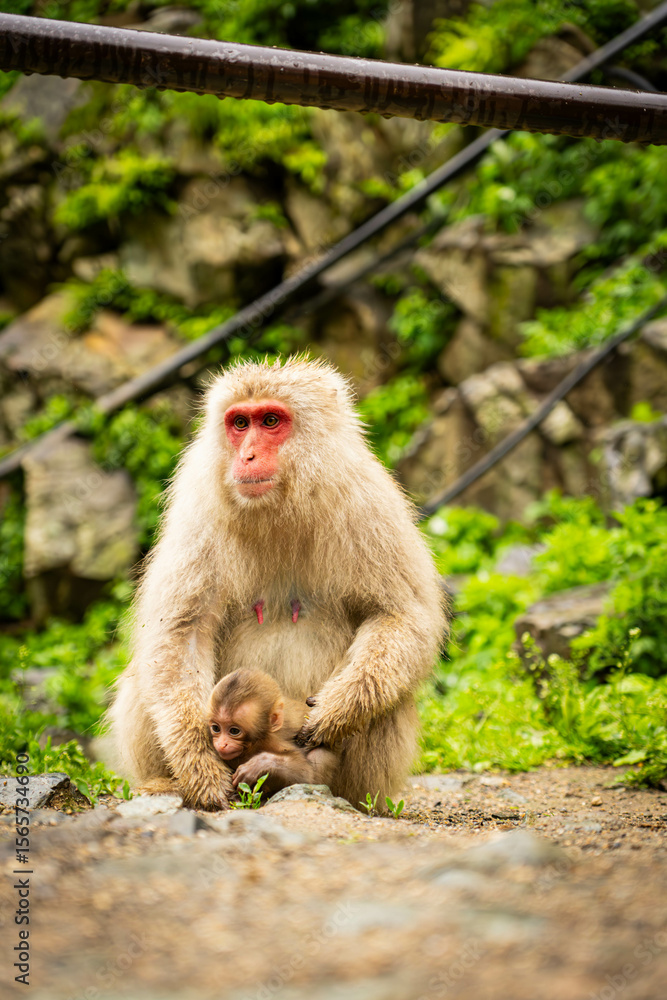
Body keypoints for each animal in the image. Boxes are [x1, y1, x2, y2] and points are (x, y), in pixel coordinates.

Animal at [207, 668, 337, 796]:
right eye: (216, 728)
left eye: (234, 731)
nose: (222, 744)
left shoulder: (271, 741)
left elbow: (305, 775)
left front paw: (260, 764)